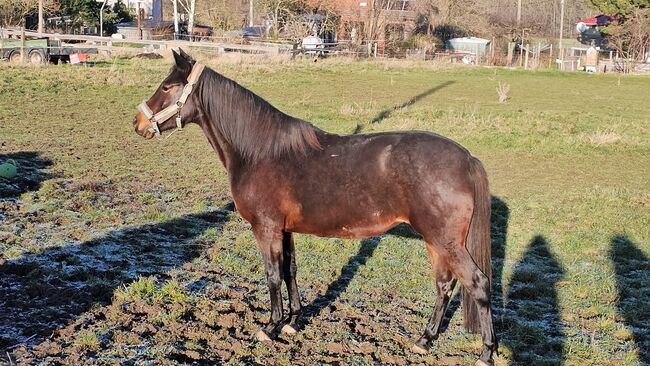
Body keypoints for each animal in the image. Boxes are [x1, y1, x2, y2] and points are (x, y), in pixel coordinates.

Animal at [132, 49, 496, 366]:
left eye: (167, 87)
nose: (138, 123)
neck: (259, 152)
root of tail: (467, 159)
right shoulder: (284, 229)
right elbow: (290, 271)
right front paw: (293, 322)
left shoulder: (265, 229)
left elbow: (272, 275)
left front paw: (270, 327)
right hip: (436, 241)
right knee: (445, 286)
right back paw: (424, 340)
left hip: (445, 241)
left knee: (476, 282)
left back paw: (485, 353)